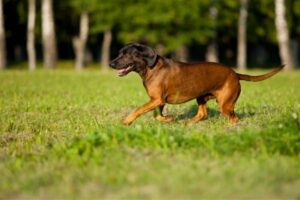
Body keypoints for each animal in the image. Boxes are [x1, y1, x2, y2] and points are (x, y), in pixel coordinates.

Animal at [109, 43, 284, 125]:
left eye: (126, 55)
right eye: (119, 53)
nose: (111, 63)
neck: (150, 68)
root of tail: (235, 74)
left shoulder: (157, 100)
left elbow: (138, 109)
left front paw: (126, 121)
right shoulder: (158, 101)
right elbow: (157, 116)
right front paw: (170, 119)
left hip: (225, 104)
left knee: (234, 118)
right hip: (201, 97)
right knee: (202, 114)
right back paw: (186, 123)